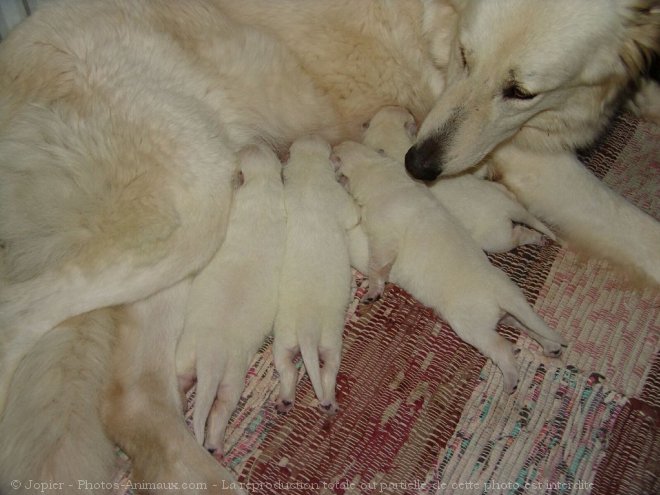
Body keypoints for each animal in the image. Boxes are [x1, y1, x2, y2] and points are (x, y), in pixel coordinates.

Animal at [175, 143, 286, 458]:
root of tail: (211, 358)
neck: (263, 184)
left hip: (205, 366)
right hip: (219, 373)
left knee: (212, 407)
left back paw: (210, 438)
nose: (250, 143)